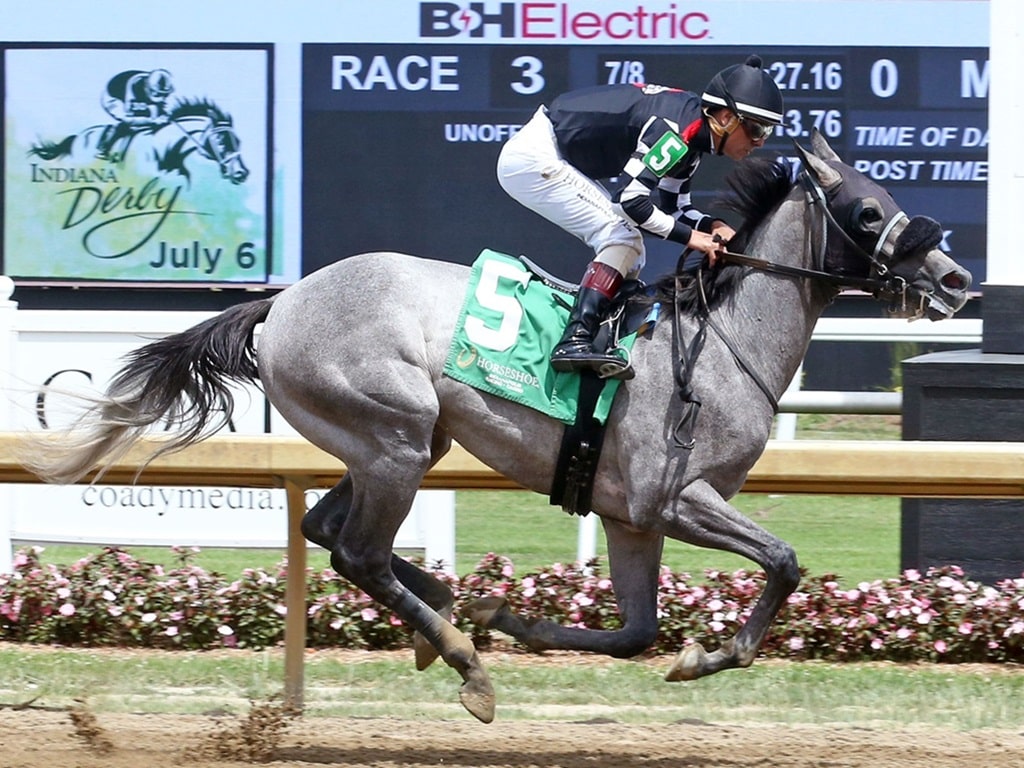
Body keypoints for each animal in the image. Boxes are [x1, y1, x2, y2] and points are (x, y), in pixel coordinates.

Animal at [22, 129, 966, 724]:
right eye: (871, 214)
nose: (958, 281)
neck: (719, 345)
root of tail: (283, 302)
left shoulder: (631, 517)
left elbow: (636, 633)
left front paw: (516, 617)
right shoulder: (675, 497)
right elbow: (783, 560)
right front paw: (696, 655)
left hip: (393, 440)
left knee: (325, 528)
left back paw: (449, 614)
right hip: (396, 437)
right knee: (356, 552)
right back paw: (463, 659)